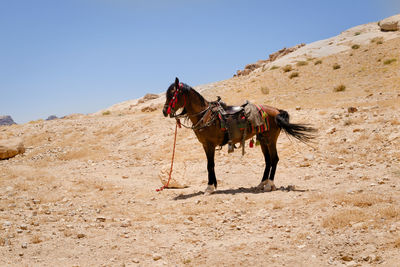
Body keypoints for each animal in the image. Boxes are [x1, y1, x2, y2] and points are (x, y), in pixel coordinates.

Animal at [162, 77, 316, 195]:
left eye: (172, 95)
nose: (164, 111)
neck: (205, 115)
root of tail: (277, 111)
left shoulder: (210, 145)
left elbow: (210, 165)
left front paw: (209, 188)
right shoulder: (205, 145)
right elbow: (210, 165)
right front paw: (214, 185)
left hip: (271, 139)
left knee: (274, 159)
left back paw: (269, 185)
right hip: (263, 140)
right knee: (268, 160)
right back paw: (261, 184)